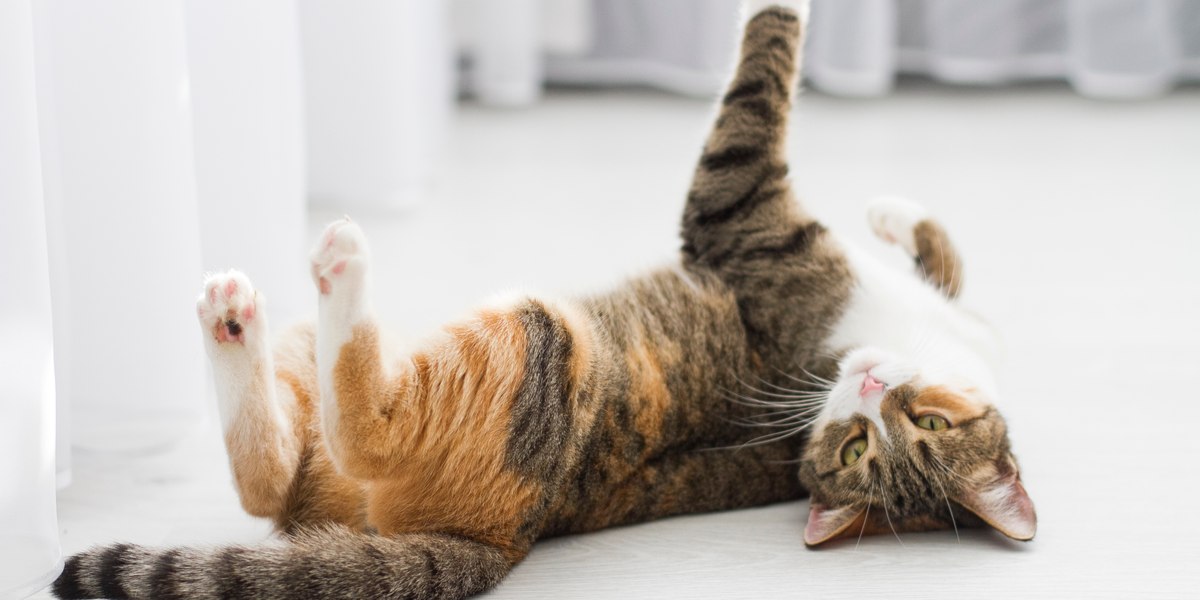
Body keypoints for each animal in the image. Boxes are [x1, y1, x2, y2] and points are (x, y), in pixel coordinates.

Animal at [54, 2, 1032, 597]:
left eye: (894, 439)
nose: (870, 387)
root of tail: (506, 538)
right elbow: (944, 254)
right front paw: (895, 214)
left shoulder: (744, 213)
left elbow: (759, 80)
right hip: (318, 372)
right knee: (270, 476)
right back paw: (231, 319)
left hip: (536, 335)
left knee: (354, 433)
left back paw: (338, 269)